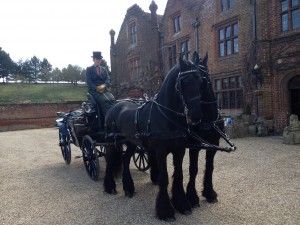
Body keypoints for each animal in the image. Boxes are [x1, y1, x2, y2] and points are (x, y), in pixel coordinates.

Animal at [104, 51, 205, 221]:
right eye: (182, 82)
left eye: (200, 80)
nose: (196, 115)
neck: (166, 115)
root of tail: (115, 105)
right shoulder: (161, 152)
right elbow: (164, 178)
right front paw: (166, 211)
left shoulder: (180, 150)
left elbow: (178, 175)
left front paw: (182, 205)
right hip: (111, 142)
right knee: (109, 161)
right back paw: (109, 187)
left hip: (131, 142)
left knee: (125, 159)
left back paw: (128, 188)